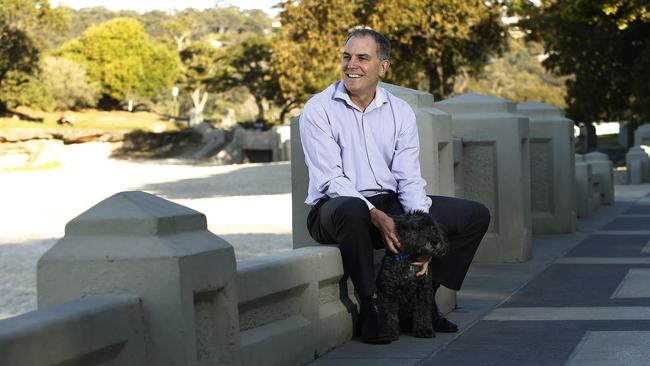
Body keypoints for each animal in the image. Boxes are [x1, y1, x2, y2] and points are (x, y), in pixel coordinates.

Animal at [374, 212, 446, 340]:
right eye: (420, 228)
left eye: (433, 228)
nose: (435, 241)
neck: (409, 260)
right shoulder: (389, 292)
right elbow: (390, 314)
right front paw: (390, 333)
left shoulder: (423, 291)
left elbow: (422, 312)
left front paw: (424, 330)